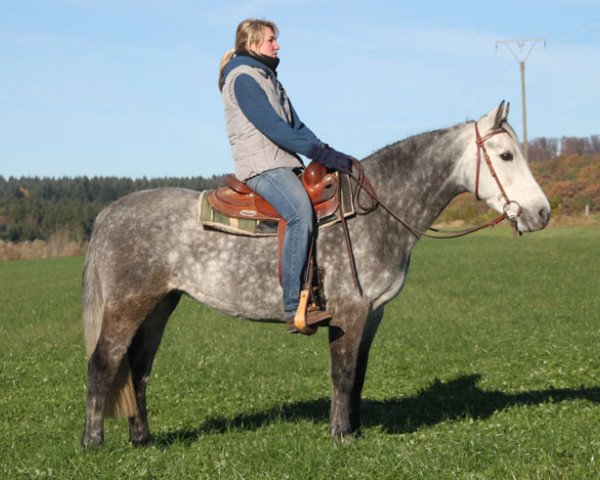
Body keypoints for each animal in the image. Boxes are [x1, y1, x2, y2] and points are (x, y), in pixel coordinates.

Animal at [82, 100, 552, 446]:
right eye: (506, 155)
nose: (542, 213)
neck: (376, 212)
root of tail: (107, 214)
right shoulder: (349, 311)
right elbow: (342, 374)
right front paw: (341, 436)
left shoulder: (373, 313)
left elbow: (358, 374)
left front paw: (355, 431)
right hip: (127, 307)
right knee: (103, 364)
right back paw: (93, 442)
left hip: (160, 306)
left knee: (138, 370)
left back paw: (143, 438)